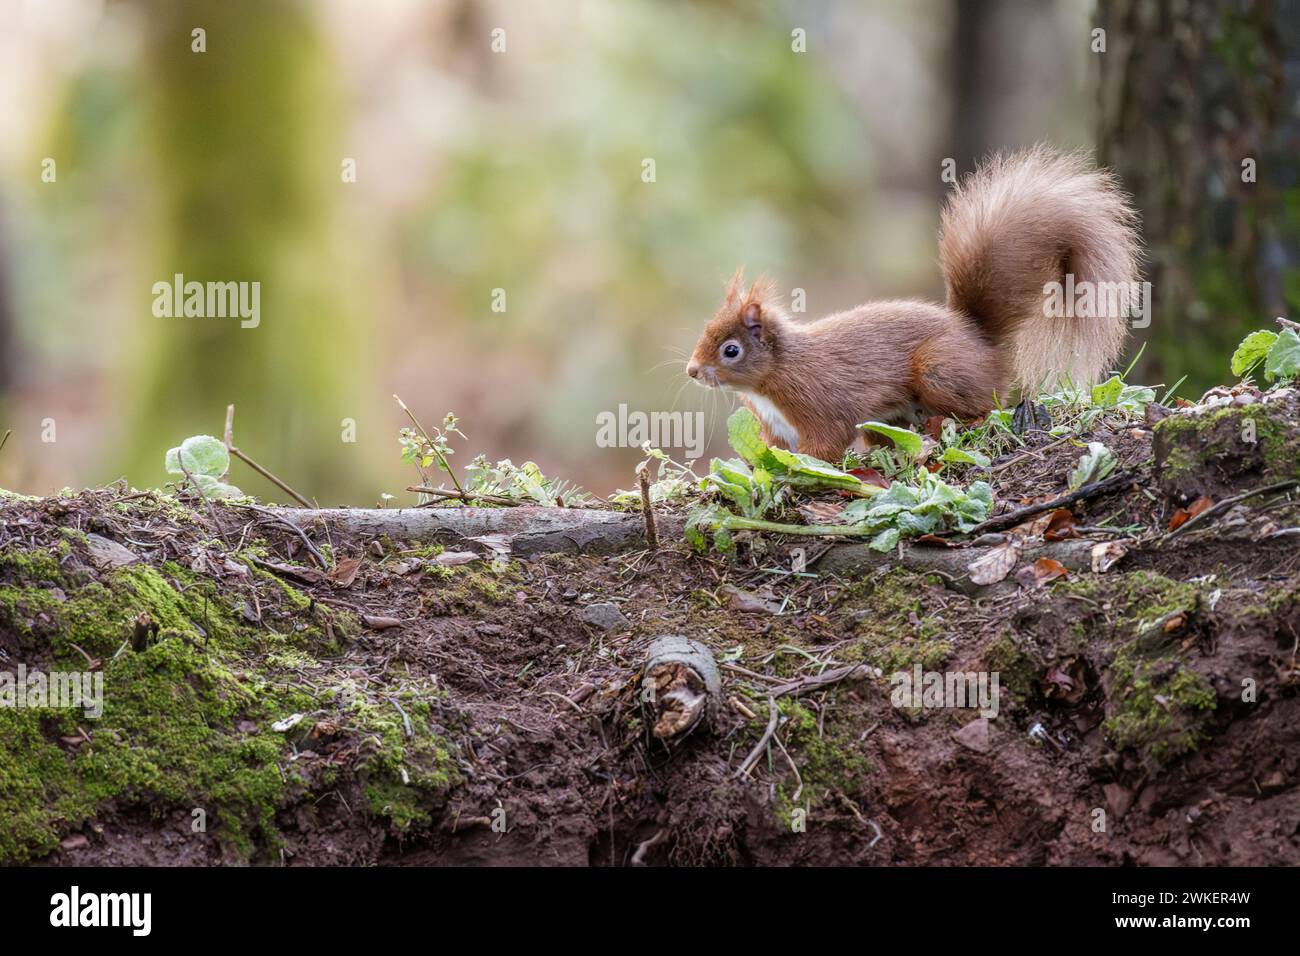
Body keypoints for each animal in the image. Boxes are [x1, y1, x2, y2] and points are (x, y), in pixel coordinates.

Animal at [686, 147, 1142, 463]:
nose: (692, 371)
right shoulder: (776, 428)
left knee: (982, 408)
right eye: (704, 331)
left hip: (938, 369)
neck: (773, 377)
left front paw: (802, 470)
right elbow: (773, 452)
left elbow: (826, 445)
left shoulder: (821, 403)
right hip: (890, 417)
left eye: (731, 350)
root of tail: (979, 338)